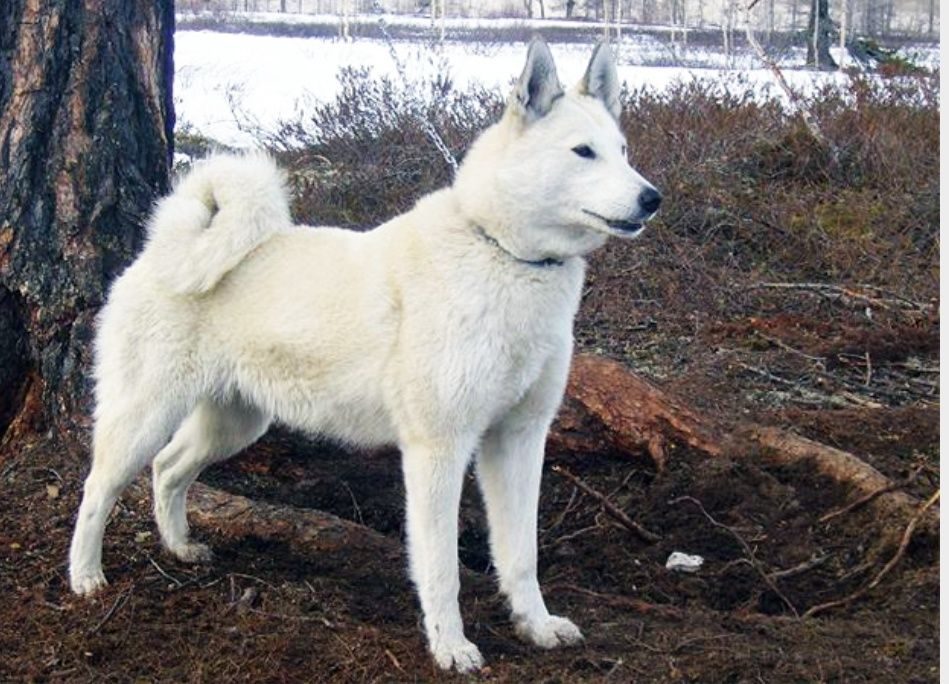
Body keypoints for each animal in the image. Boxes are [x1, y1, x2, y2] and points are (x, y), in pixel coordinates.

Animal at [70, 38, 660, 672]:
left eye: (623, 151)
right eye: (583, 152)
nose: (652, 198)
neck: (503, 253)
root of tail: (162, 249)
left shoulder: (519, 441)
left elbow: (521, 555)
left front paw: (536, 625)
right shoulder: (438, 450)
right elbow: (442, 568)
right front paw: (450, 647)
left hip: (234, 423)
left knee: (168, 469)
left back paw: (180, 547)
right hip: (145, 417)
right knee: (97, 489)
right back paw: (85, 578)